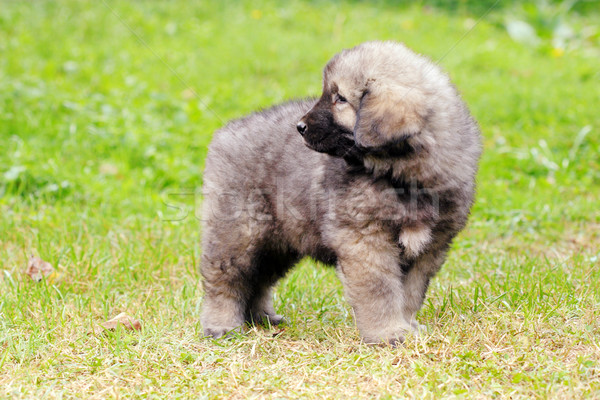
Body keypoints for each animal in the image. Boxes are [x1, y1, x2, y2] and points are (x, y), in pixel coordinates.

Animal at [199, 41, 480, 346]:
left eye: (340, 99)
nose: (300, 127)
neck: (402, 177)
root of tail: (226, 131)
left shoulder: (430, 247)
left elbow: (410, 293)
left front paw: (406, 327)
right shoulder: (366, 241)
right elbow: (379, 291)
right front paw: (387, 332)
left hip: (279, 240)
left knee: (258, 279)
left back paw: (261, 319)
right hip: (239, 232)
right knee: (224, 280)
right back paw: (222, 325)